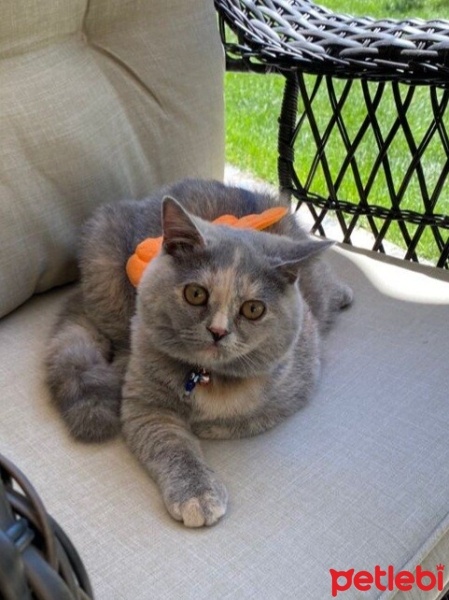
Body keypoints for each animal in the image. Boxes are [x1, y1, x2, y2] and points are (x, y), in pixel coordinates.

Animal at [46, 178, 354, 524]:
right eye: (195, 294)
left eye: (253, 309)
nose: (218, 331)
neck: (208, 378)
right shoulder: (143, 404)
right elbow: (171, 443)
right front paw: (196, 494)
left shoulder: (297, 380)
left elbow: (247, 417)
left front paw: (208, 425)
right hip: (108, 278)